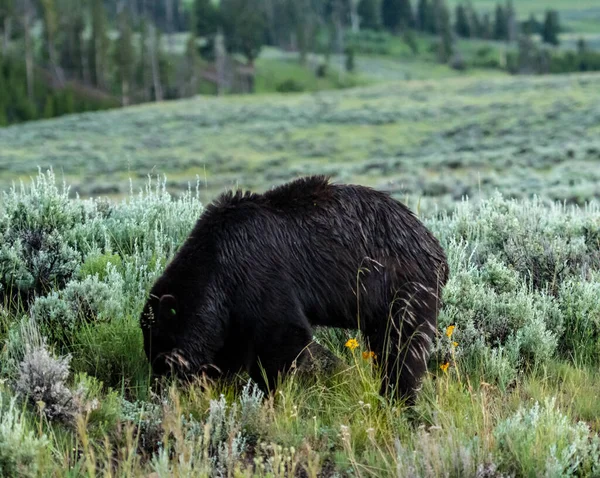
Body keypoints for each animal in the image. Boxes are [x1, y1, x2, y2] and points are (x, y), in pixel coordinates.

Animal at [141, 176, 448, 404]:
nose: (160, 389)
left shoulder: (261, 276)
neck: (217, 264)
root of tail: (435, 247)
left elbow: (283, 338)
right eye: (153, 353)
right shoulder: (234, 304)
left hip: (400, 287)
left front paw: (275, 392)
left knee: (402, 347)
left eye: (163, 356)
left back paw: (398, 397)